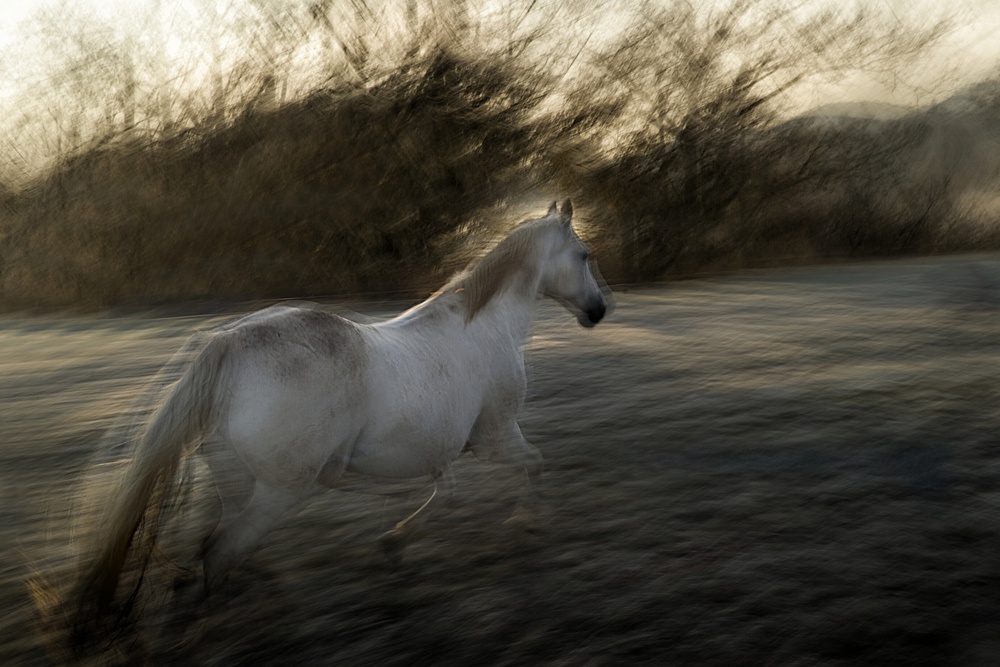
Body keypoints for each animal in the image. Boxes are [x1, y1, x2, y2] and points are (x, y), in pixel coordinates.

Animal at [56, 199, 607, 647]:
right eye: (584, 255)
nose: (599, 310)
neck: (484, 327)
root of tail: (230, 343)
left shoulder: (432, 453)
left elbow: (440, 492)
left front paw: (392, 543)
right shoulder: (495, 437)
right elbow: (533, 463)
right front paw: (528, 522)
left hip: (240, 485)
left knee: (221, 549)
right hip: (282, 490)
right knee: (220, 552)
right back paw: (222, 623)